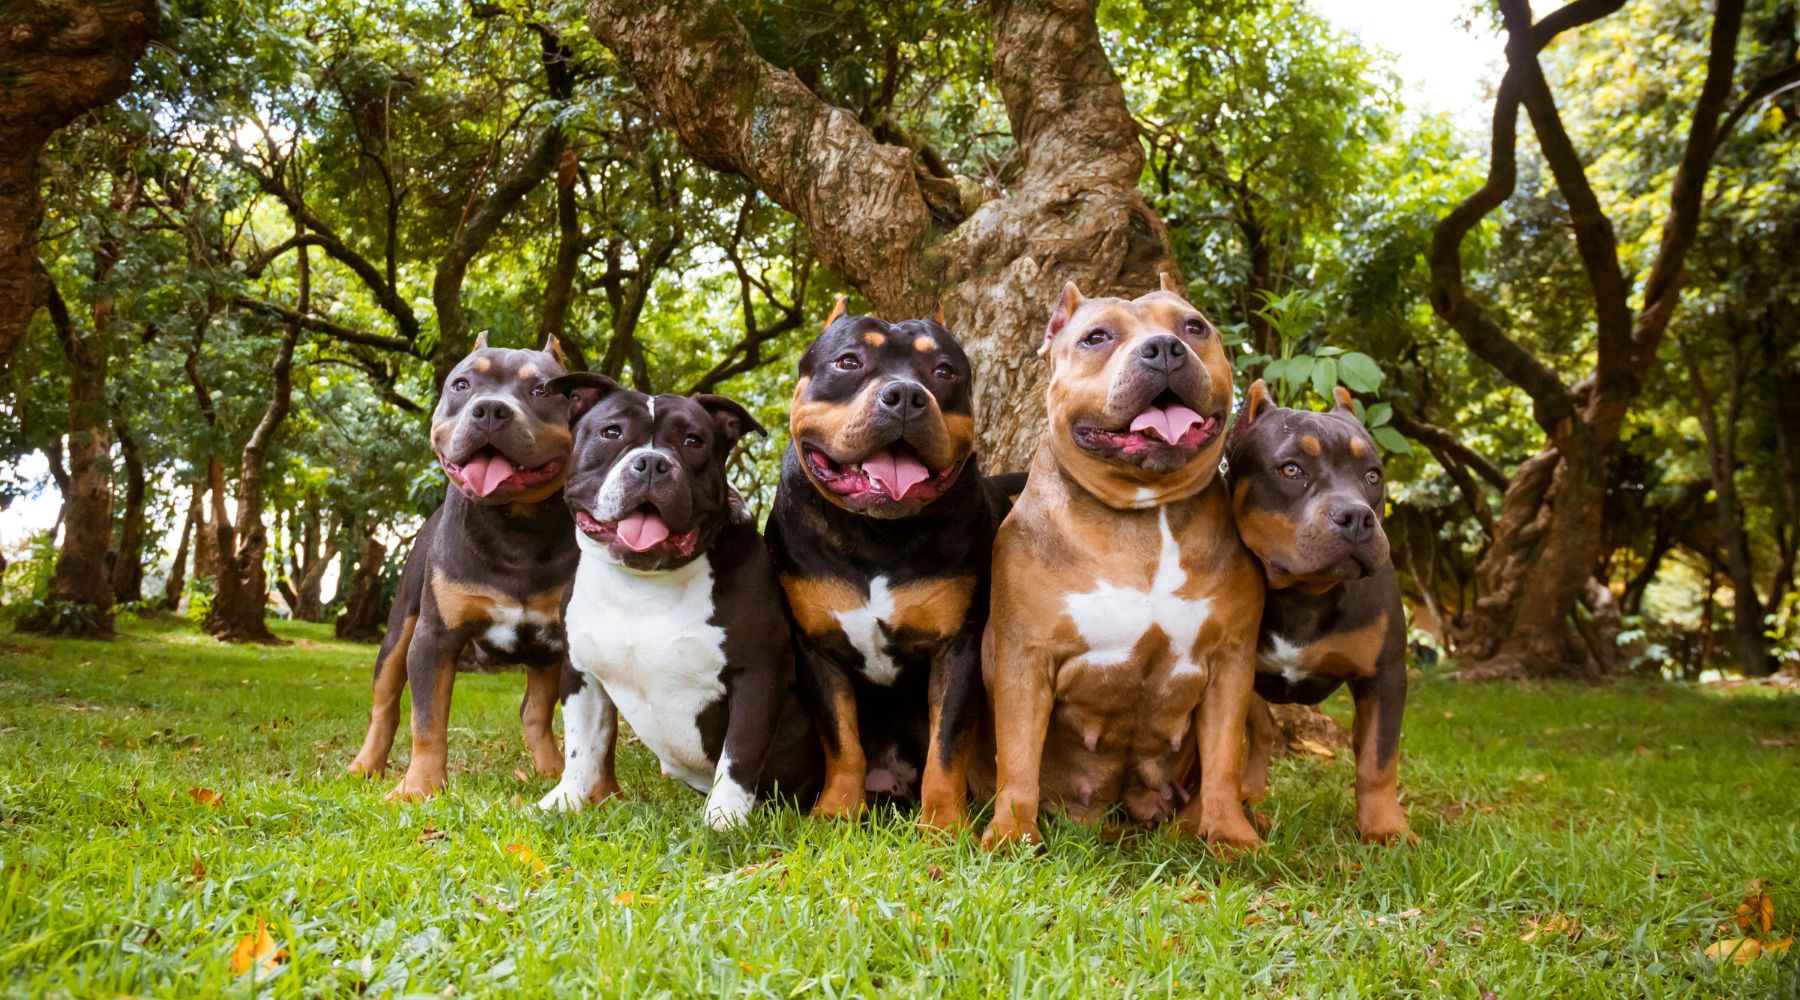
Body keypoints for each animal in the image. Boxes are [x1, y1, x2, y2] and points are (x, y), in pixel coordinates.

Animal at [345, 334, 576, 798]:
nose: (490, 409)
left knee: (534, 711)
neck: (517, 526)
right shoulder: (434, 639)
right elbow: (427, 721)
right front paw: (419, 787)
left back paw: (551, 769)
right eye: (462, 384)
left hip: (546, 656)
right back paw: (365, 766)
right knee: (384, 706)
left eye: (540, 391)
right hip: (398, 633)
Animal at [529, 372, 820, 827]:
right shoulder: (581, 674)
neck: (643, 583)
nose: (651, 462)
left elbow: (738, 755)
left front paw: (724, 818)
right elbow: (582, 747)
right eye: (611, 432)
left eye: (693, 441)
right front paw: (566, 800)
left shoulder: (757, 675)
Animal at [763, 300, 1015, 830]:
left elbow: (947, 745)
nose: (904, 396)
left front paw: (942, 826)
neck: (877, 536)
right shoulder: (816, 648)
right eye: (848, 362)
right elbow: (841, 739)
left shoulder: (958, 646)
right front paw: (836, 812)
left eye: (944, 371)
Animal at [979, 275, 1260, 852]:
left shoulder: (1232, 661)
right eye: (1097, 337)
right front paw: (1011, 834)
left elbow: (1225, 758)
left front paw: (1230, 836)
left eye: (1194, 327)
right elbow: (1017, 757)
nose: (1165, 348)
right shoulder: (1024, 658)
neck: (1142, 514)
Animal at [1231, 383, 1411, 845]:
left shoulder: (1384, 677)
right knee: (1261, 730)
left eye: (1372, 475)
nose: (1357, 516)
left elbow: (1378, 759)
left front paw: (1385, 828)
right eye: (1292, 469)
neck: (1304, 594)